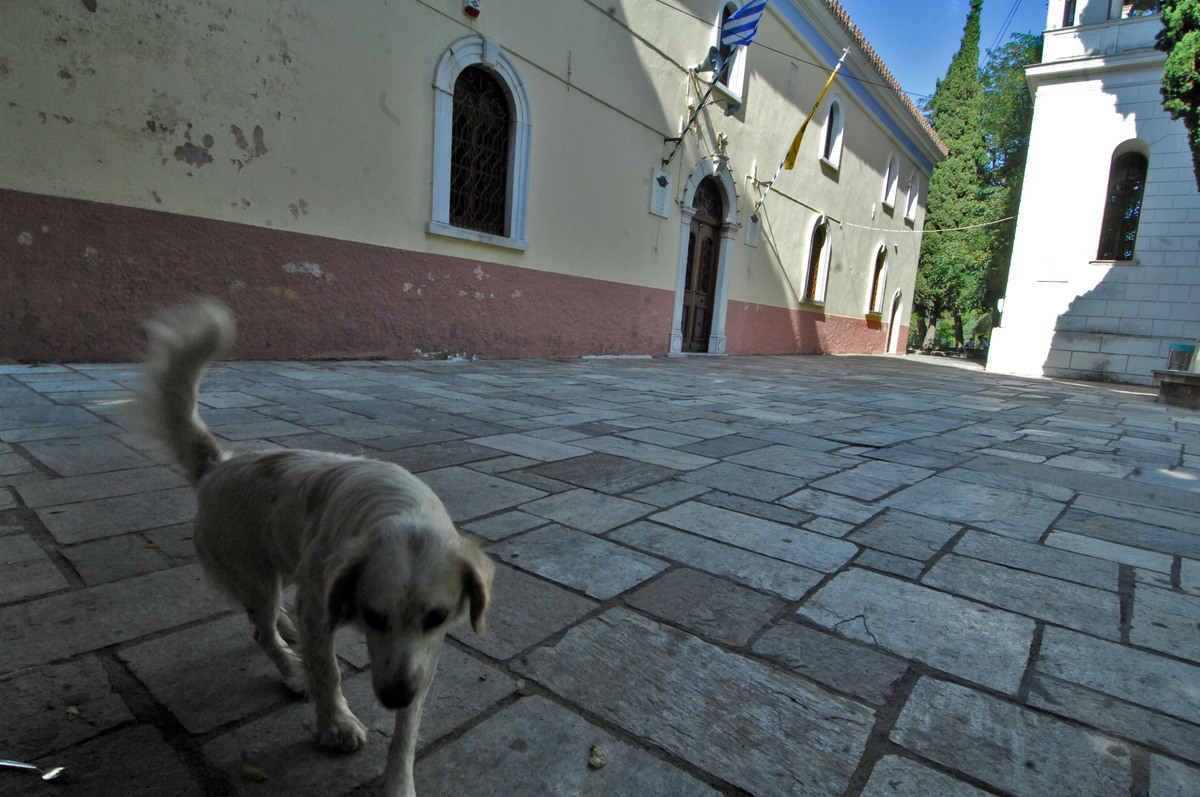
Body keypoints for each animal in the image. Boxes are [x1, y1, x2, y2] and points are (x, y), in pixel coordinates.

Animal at [140, 298, 492, 797]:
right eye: (373, 616)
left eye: (437, 617)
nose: (394, 695)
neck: (401, 509)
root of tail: (216, 466)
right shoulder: (323, 605)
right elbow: (328, 671)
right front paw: (336, 724)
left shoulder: (423, 653)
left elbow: (408, 728)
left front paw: (398, 781)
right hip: (258, 576)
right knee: (261, 630)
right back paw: (291, 668)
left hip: (285, 566)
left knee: (270, 617)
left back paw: (288, 632)